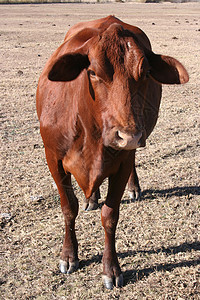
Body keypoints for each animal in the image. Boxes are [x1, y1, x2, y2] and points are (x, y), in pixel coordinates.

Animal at [36, 15, 189, 288]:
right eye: (93, 72)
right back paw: (92, 198)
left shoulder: (123, 162)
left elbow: (110, 215)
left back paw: (133, 188)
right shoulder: (53, 157)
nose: (129, 135)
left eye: (145, 72)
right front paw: (69, 256)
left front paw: (111, 269)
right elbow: (68, 207)